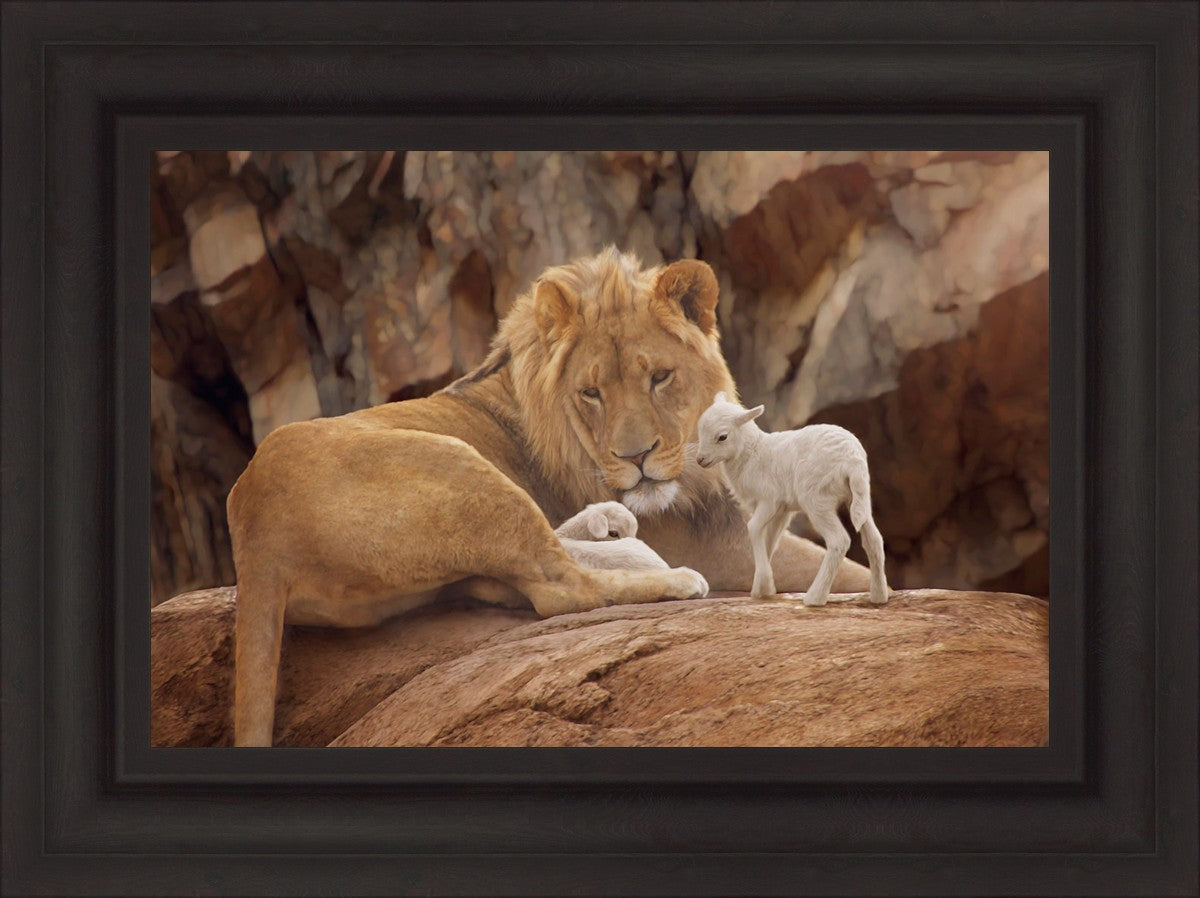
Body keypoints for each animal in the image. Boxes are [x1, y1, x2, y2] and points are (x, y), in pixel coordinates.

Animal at [695, 392, 889, 607]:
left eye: (722, 437)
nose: (700, 460)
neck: (752, 453)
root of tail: (852, 460)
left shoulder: (769, 500)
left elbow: (753, 528)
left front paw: (764, 584)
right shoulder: (782, 510)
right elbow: (770, 540)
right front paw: (763, 588)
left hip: (816, 499)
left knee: (839, 541)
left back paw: (815, 597)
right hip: (859, 496)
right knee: (874, 540)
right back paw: (878, 596)